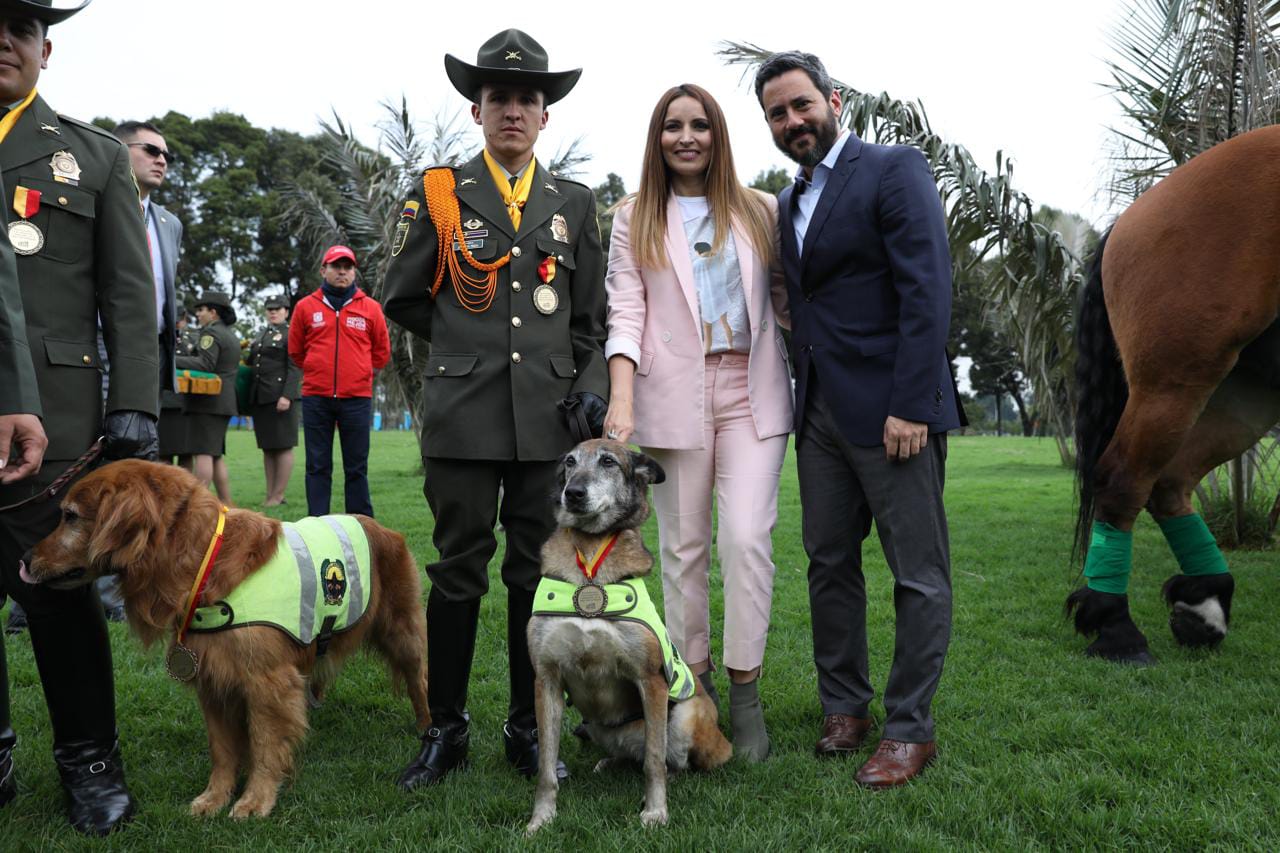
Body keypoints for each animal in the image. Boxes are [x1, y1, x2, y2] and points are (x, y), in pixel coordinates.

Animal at [23, 458, 430, 819]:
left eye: (70, 516)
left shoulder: (268, 682)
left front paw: (255, 799)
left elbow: (265, 746)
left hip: (404, 633)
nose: (24, 560)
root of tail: (376, 524)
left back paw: (427, 728)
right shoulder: (213, 680)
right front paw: (214, 797)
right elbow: (222, 750)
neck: (204, 560)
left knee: (419, 681)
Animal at [524, 438, 732, 829]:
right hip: (595, 726)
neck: (590, 561)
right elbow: (545, 765)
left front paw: (655, 810)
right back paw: (609, 762)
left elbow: (654, 762)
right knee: (632, 755)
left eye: (608, 462)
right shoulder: (546, 679)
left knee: (672, 761)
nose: (573, 493)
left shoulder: (650, 679)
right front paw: (541, 819)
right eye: (570, 462)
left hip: (685, 717)